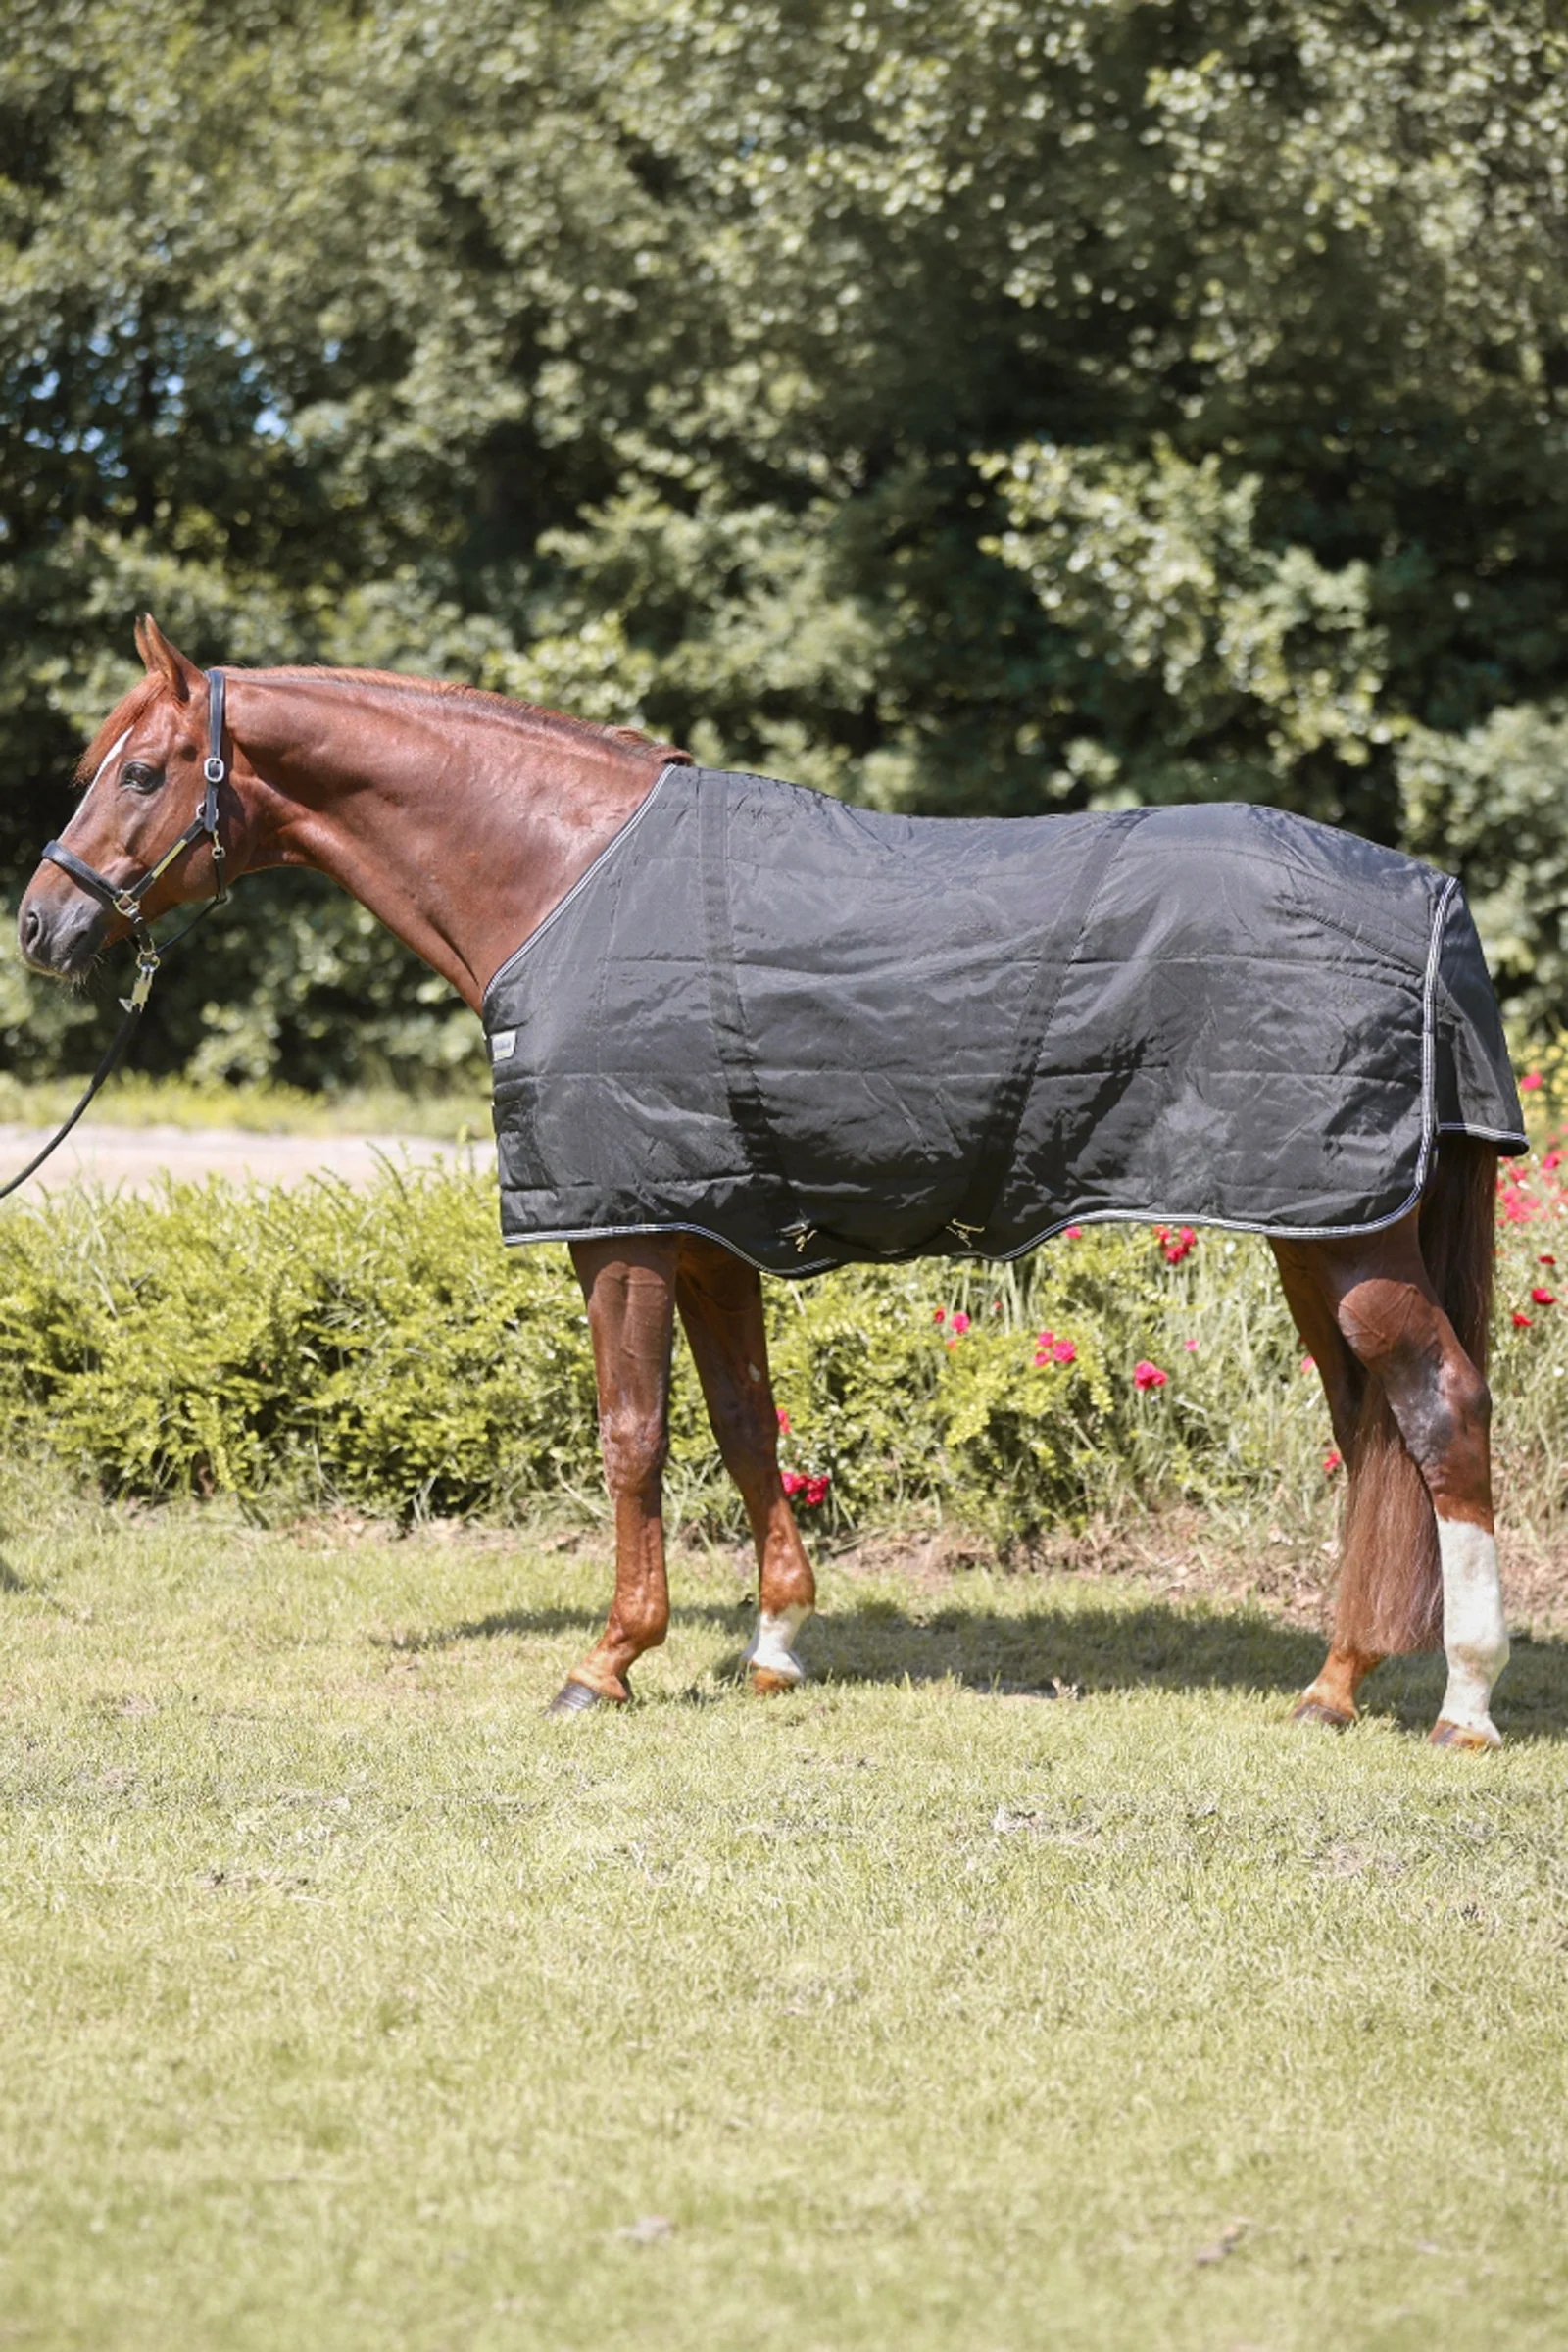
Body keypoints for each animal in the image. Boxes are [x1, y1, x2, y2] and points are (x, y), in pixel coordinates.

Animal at [15, 615, 1518, 1748]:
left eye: (140, 772)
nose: (43, 923)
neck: (559, 870)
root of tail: (1430, 901)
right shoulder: (707, 1230)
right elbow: (746, 1422)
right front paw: (775, 1645)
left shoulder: (618, 1228)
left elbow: (631, 1434)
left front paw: (606, 1660)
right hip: (1315, 1224)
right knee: (1369, 1429)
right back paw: (1335, 1684)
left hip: (1342, 1233)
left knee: (1438, 1408)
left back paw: (1464, 1700)